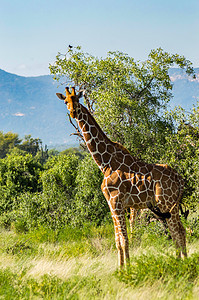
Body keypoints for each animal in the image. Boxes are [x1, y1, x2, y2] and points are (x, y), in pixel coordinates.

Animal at [56, 86, 187, 268]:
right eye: (66, 101)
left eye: (77, 99)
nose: (73, 112)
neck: (105, 162)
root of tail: (179, 179)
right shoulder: (111, 204)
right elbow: (118, 240)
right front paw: (120, 268)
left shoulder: (116, 201)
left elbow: (125, 239)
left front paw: (128, 269)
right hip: (170, 205)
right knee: (181, 230)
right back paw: (182, 260)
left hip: (166, 203)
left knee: (176, 231)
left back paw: (180, 263)